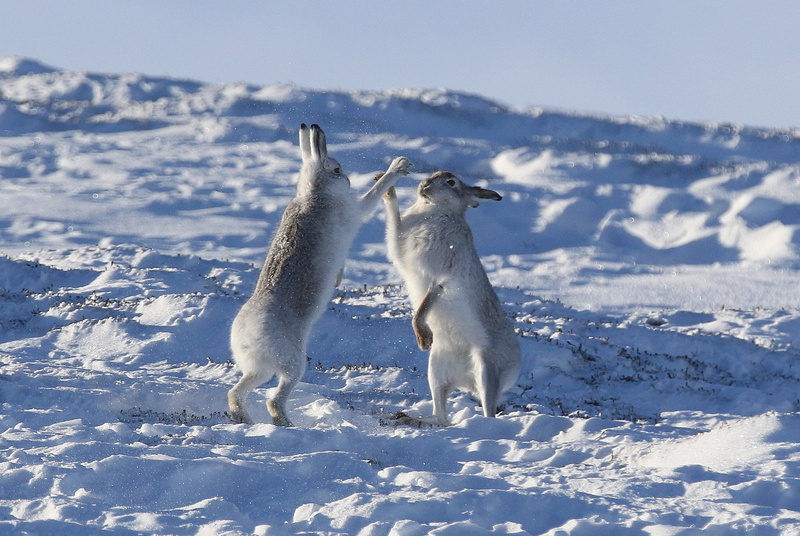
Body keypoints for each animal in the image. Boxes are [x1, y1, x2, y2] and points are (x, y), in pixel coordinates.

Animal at [228, 123, 411, 426]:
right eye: (336, 169)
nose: (347, 179)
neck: (315, 190)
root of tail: (245, 336)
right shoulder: (355, 210)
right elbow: (374, 193)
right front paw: (398, 166)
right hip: (293, 362)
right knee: (274, 399)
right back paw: (286, 424)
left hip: (260, 369)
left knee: (237, 391)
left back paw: (245, 420)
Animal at [382, 171, 521, 425]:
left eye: (451, 182)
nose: (424, 185)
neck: (437, 210)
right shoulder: (400, 241)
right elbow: (393, 219)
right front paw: (388, 188)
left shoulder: (440, 278)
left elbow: (423, 307)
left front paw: (423, 338)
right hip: (436, 369)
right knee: (441, 412)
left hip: (487, 370)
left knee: (487, 406)